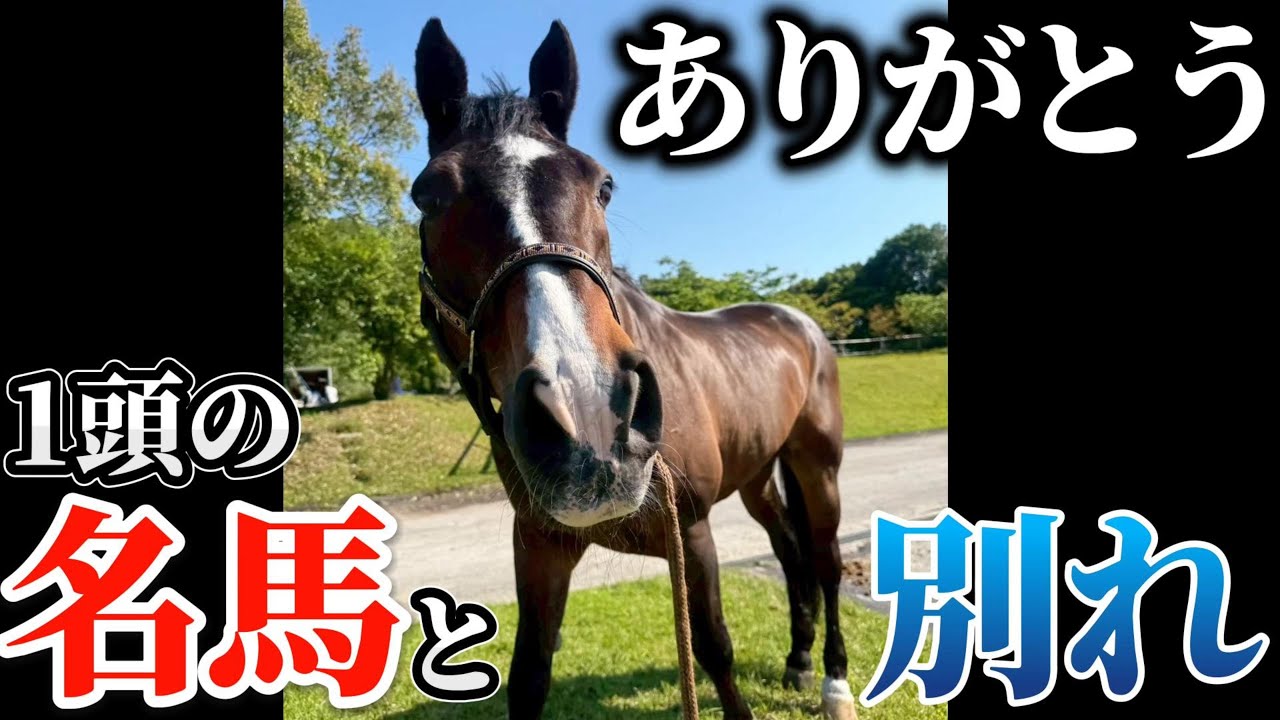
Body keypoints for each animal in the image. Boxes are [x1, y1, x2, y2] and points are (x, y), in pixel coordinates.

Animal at [410, 18, 854, 720]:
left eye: (603, 186)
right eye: (428, 197)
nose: (591, 417)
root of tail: (799, 321)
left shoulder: (691, 532)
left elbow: (714, 649)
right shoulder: (540, 548)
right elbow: (530, 675)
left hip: (817, 465)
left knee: (826, 559)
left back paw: (835, 680)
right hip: (759, 474)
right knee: (790, 551)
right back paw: (799, 661)